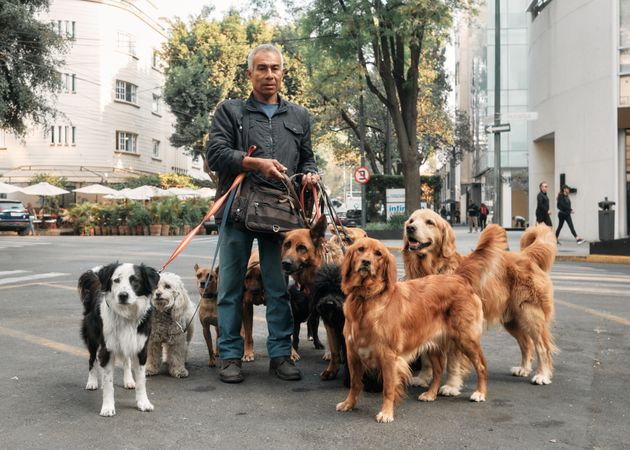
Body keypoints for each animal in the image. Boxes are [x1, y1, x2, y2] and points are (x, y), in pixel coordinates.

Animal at [78, 262, 160, 416]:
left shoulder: (140, 349)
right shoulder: (107, 348)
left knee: (126, 361)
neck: (126, 315)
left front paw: (143, 403)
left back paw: (129, 380)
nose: (123, 295)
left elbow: (141, 381)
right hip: (92, 339)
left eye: (135, 280)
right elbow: (109, 382)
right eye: (116, 280)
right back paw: (92, 382)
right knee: (92, 359)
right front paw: (107, 407)